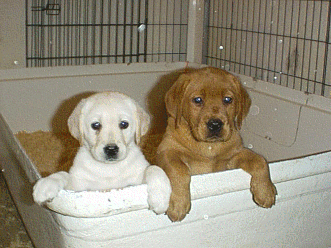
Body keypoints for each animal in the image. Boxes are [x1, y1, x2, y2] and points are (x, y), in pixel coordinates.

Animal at [32, 92, 172, 214]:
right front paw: (47, 184)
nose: (111, 149)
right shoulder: (77, 187)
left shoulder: (135, 181)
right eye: (96, 125)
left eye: (124, 124)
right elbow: (63, 174)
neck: (109, 169)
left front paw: (160, 196)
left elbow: (154, 168)